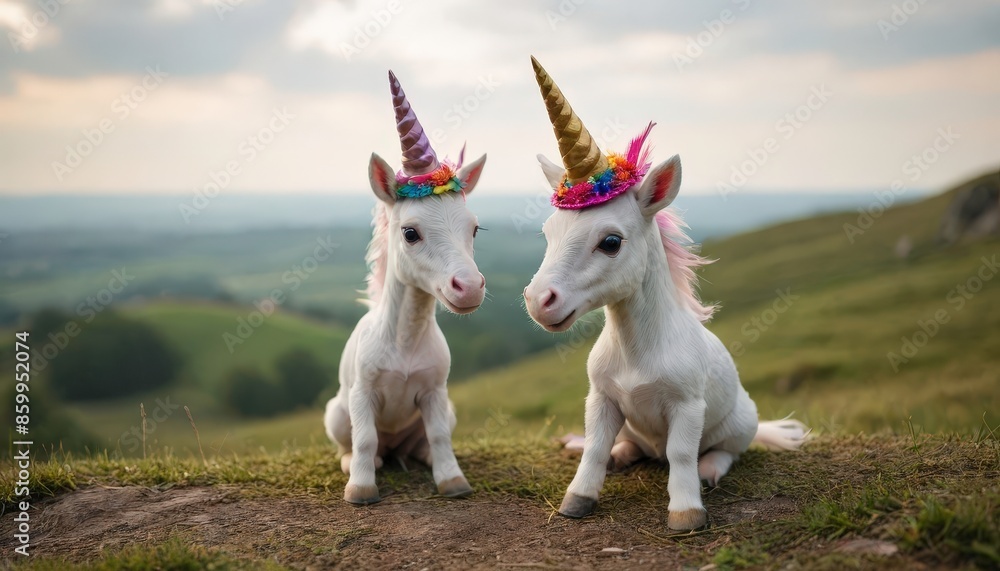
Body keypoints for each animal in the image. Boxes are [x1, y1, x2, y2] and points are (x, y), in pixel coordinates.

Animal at [324, 70, 488, 505]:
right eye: (410, 232)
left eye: (474, 229)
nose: (469, 288)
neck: (405, 341)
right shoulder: (362, 394)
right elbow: (364, 439)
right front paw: (360, 488)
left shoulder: (434, 393)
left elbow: (441, 436)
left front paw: (452, 480)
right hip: (336, 412)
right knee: (357, 443)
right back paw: (357, 462)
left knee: (421, 443)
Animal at [522, 57, 807, 530]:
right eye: (548, 232)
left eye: (611, 241)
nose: (539, 301)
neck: (637, 353)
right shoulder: (601, 399)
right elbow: (595, 447)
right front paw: (577, 499)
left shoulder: (688, 406)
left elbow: (681, 453)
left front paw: (687, 512)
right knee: (630, 446)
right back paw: (622, 455)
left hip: (742, 422)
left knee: (726, 449)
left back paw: (711, 469)